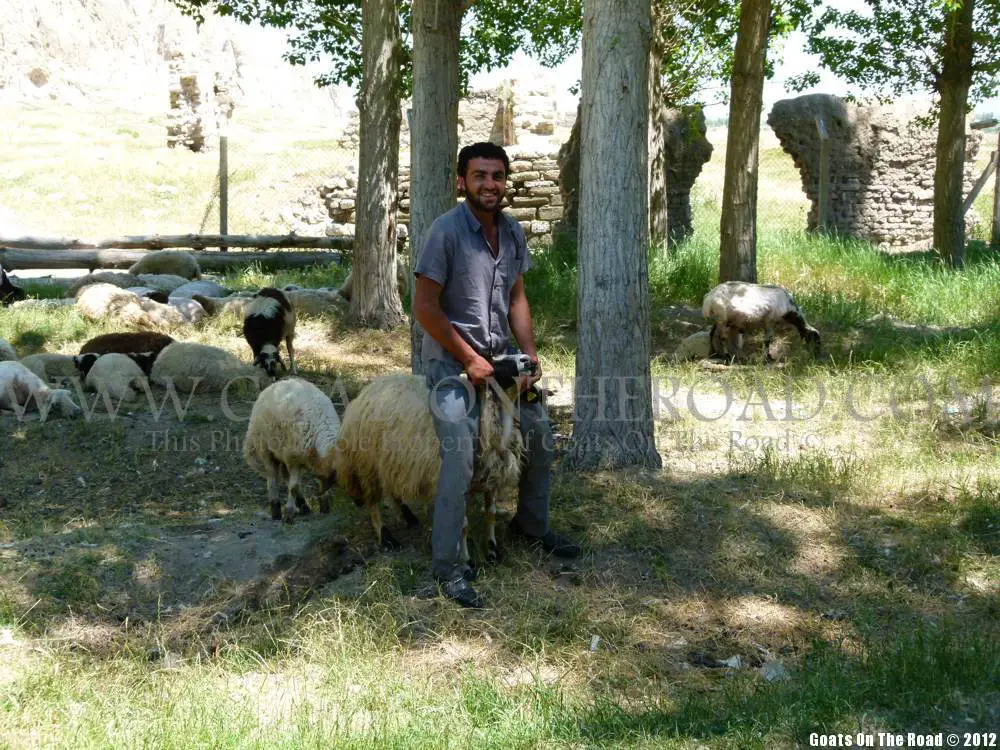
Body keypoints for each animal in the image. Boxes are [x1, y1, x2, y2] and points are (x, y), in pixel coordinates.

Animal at [242, 378, 340, 524]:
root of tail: (276, 384)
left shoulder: (314, 460)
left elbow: (316, 480)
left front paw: (324, 504)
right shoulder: (294, 459)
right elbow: (293, 487)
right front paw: (289, 513)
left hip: (283, 453)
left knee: (285, 476)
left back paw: (303, 506)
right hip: (266, 450)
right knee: (272, 478)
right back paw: (276, 509)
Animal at [334, 374, 524, 560]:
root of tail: (364, 393)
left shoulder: (491, 479)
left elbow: (490, 513)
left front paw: (492, 549)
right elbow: (462, 524)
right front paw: (466, 560)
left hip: (391, 461)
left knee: (392, 487)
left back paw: (408, 515)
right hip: (368, 464)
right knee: (372, 501)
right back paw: (386, 536)